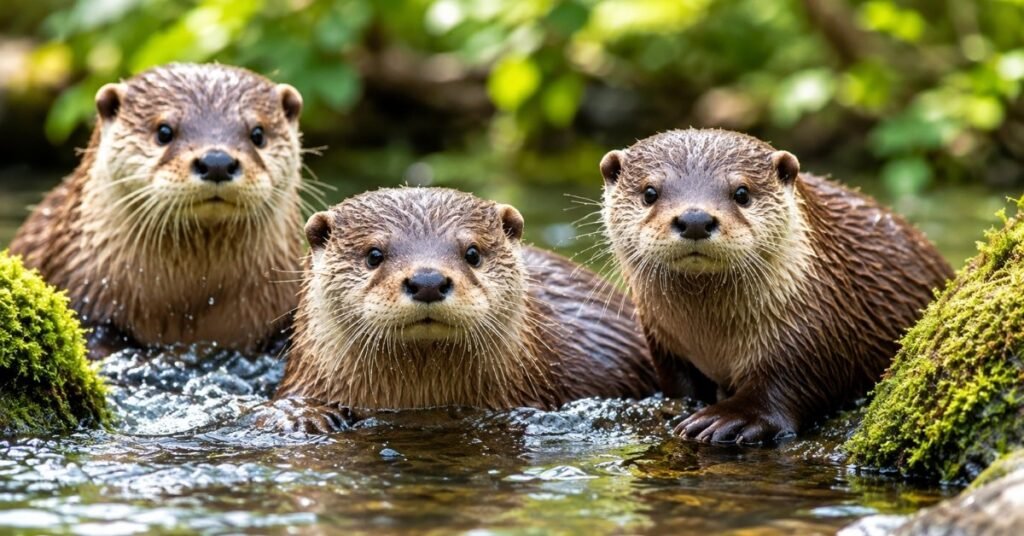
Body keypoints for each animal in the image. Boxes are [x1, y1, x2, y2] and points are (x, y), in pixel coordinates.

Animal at [599, 129, 953, 444]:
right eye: (650, 193)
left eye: (742, 193)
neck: (710, 338)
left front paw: (731, 418)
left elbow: (791, 383)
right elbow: (680, 385)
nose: (695, 219)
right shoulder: (664, 343)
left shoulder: (816, 329)